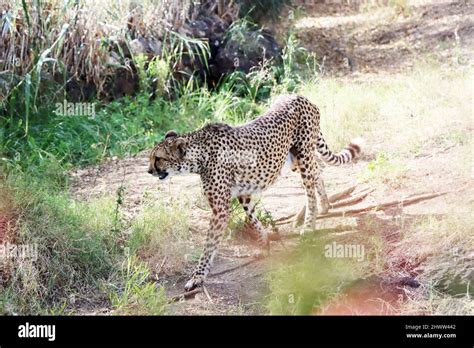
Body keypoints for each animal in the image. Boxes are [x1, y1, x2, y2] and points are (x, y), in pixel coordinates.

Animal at [148, 95, 362, 290]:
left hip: (304, 155)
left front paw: (197, 277)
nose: (149, 171)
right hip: (293, 159)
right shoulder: (242, 193)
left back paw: (309, 224)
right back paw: (324, 205)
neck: (199, 157)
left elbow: (209, 245)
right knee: (318, 172)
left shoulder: (220, 210)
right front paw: (264, 243)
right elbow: (252, 217)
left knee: (310, 188)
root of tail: (300, 96)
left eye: (158, 158)